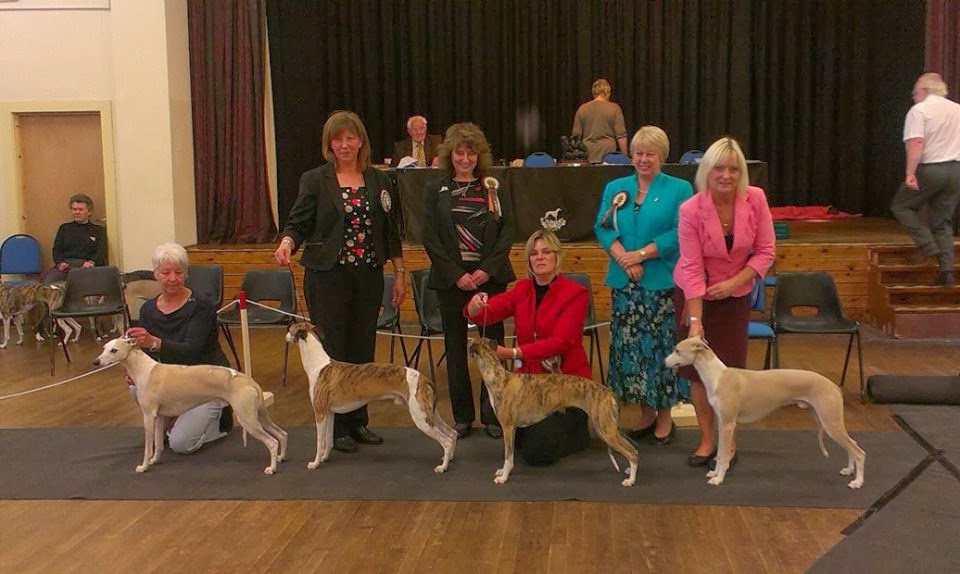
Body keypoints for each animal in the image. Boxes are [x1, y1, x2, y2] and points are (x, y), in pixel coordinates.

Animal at [92, 336, 288, 475]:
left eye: (114, 350)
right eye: (103, 348)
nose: (95, 362)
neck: (144, 369)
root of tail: (249, 381)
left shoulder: (148, 416)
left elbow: (148, 446)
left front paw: (144, 466)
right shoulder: (159, 417)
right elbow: (158, 444)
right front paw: (155, 460)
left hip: (248, 419)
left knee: (272, 442)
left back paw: (271, 469)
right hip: (260, 416)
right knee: (282, 434)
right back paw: (281, 457)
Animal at [285, 321, 457, 473]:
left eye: (291, 329)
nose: (286, 334)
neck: (319, 364)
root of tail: (423, 378)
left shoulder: (319, 413)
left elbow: (319, 442)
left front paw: (315, 463)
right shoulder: (329, 412)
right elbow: (328, 440)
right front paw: (324, 458)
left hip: (421, 417)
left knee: (446, 440)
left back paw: (443, 467)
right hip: (429, 413)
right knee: (452, 433)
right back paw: (448, 458)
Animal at [468, 338, 638, 486]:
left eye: (469, 341)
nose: (467, 338)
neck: (499, 379)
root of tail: (608, 393)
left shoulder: (508, 428)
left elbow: (507, 456)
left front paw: (503, 477)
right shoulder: (513, 428)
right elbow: (509, 456)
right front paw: (503, 471)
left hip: (606, 430)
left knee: (632, 453)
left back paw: (630, 480)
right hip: (611, 427)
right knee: (634, 448)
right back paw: (629, 471)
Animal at [664, 336, 865, 488]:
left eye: (677, 350)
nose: (664, 362)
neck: (718, 377)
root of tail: (833, 386)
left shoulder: (728, 424)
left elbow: (724, 455)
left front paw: (718, 479)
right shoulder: (721, 423)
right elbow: (720, 453)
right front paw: (714, 472)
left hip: (830, 423)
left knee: (859, 451)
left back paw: (857, 482)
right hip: (827, 421)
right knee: (852, 444)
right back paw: (849, 470)